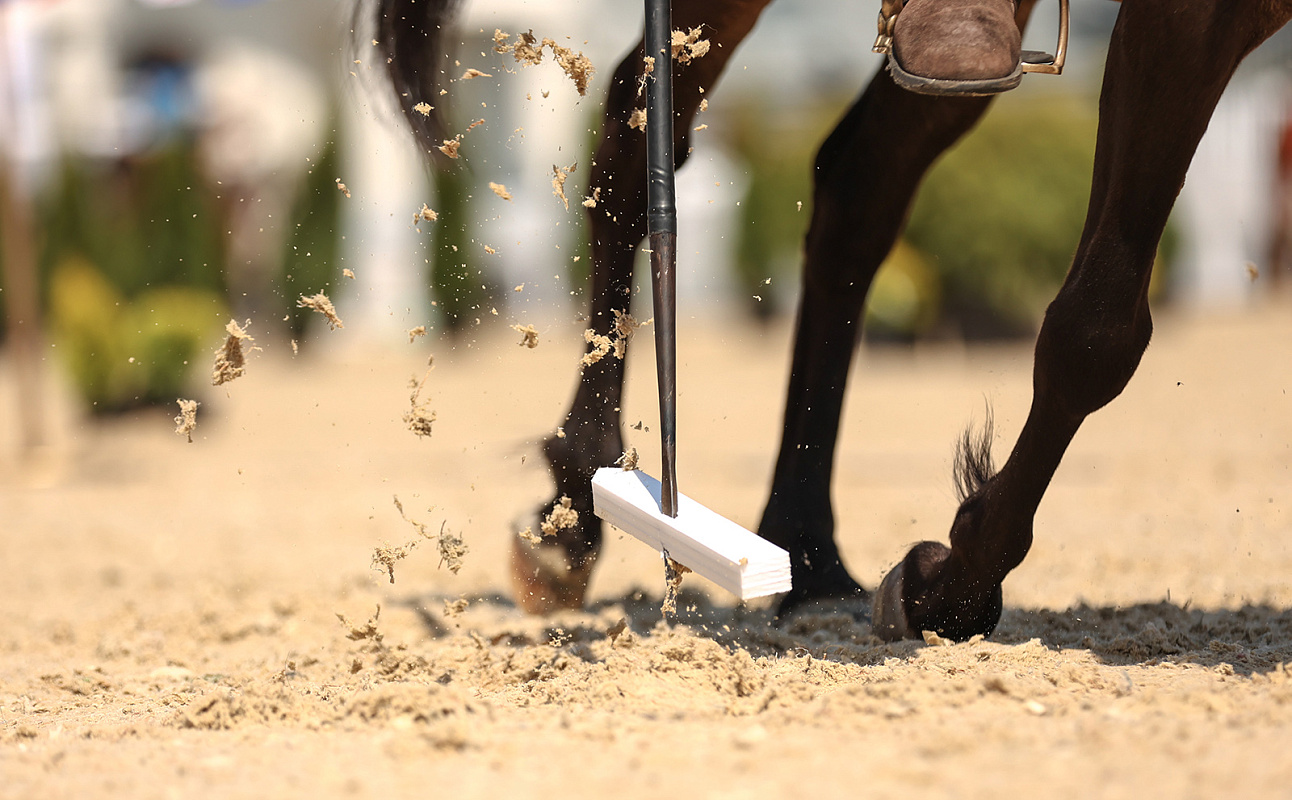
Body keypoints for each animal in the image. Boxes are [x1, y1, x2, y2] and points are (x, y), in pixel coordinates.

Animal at [364, 0, 1292, 641]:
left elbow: (1103, 327)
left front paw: (950, 578)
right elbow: (1095, 330)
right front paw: (952, 581)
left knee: (862, 179)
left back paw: (804, 551)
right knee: (641, 122)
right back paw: (578, 505)